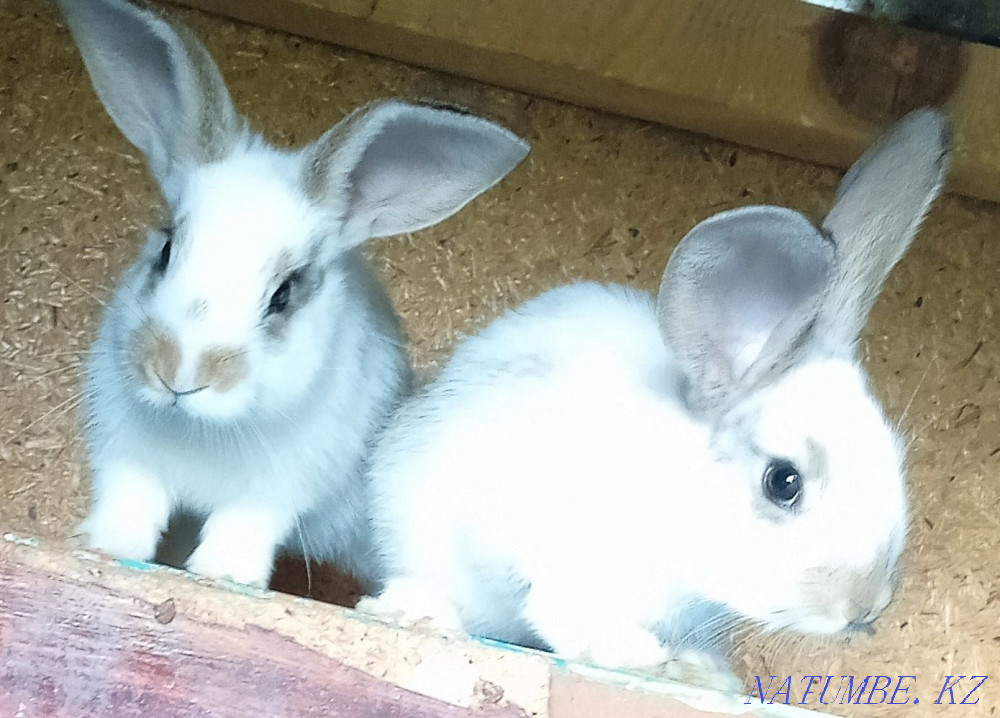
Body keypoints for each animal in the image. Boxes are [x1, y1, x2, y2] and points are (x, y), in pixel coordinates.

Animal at [59, 0, 529, 589]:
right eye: (166, 249)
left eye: (283, 294)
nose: (179, 372)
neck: (201, 429)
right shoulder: (128, 459)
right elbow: (130, 506)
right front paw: (103, 548)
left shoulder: (273, 492)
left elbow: (243, 527)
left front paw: (226, 576)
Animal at [359, 109, 950, 689]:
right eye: (784, 482)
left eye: (894, 458)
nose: (865, 607)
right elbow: (564, 612)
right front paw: (635, 655)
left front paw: (700, 674)